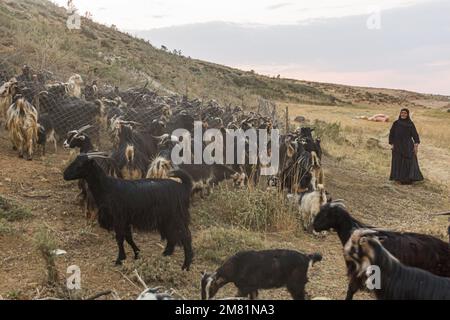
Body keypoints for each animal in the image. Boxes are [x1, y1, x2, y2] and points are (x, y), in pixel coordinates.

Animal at [62, 152, 193, 270]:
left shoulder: (118, 218)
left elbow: (120, 239)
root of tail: (183, 187)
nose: (64, 175)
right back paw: (166, 254)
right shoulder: (125, 220)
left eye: (80, 165)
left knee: (185, 237)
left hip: (176, 217)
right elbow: (128, 238)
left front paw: (119, 259)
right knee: (172, 236)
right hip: (168, 219)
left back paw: (186, 265)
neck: (108, 188)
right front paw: (137, 253)